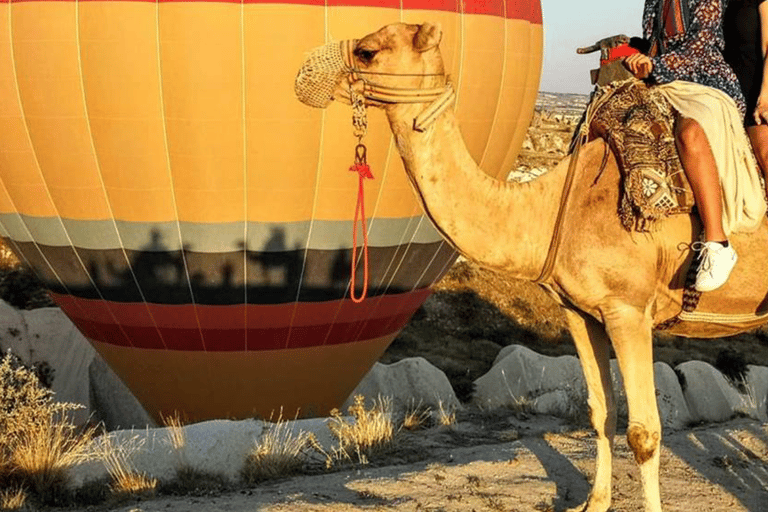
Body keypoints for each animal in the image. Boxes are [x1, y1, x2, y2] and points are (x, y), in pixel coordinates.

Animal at [295, 22, 768, 512]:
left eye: (367, 51)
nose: (306, 73)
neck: (554, 208)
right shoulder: (580, 312)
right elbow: (601, 412)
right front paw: (594, 502)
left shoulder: (629, 309)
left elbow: (645, 432)